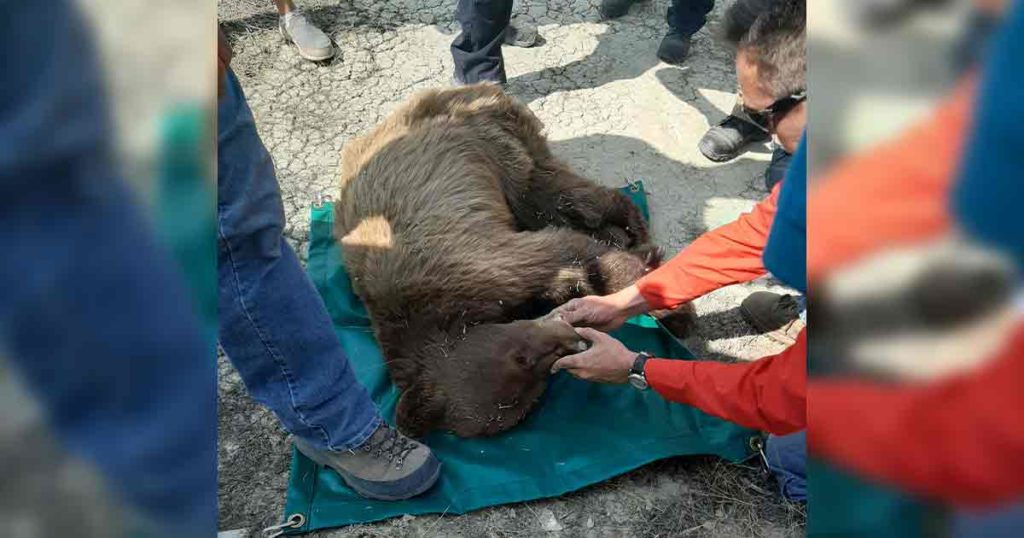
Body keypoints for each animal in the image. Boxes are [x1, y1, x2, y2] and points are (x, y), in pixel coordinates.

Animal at [335, 83, 661, 438]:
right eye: (533, 371)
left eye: (521, 359)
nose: (570, 340)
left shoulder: (464, 263)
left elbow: (563, 251)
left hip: (497, 149)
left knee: (553, 195)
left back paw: (635, 230)